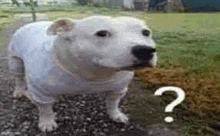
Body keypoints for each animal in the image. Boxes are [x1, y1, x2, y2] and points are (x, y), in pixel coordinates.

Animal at [8, 15, 156, 132]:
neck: (92, 73)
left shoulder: (118, 89)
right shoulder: (41, 93)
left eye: (146, 32)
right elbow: (45, 109)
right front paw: (47, 122)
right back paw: (19, 91)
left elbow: (113, 103)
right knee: (18, 77)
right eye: (102, 33)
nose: (145, 49)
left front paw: (115, 115)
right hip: (15, 62)